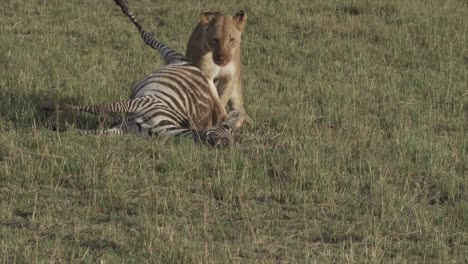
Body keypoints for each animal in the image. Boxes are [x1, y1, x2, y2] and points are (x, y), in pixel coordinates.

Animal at [41, 0, 241, 146]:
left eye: (231, 139)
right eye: (226, 127)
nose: (224, 144)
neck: (166, 128)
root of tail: (196, 69)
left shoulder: (125, 128)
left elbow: (86, 132)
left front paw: (55, 129)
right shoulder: (142, 102)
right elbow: (99, 108)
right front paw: (50, 107)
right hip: (170, 53)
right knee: (147, 35)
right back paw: (122, 4)